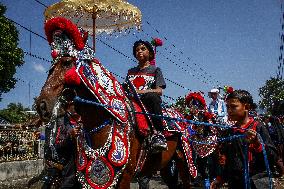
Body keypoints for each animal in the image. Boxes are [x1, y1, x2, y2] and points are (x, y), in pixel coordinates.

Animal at [35, 17, 197, 188]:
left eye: (66, 62)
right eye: (51, 68)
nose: (42, 105)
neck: (104, 121)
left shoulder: (126, 175)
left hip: (183, 161)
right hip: (165, 165)